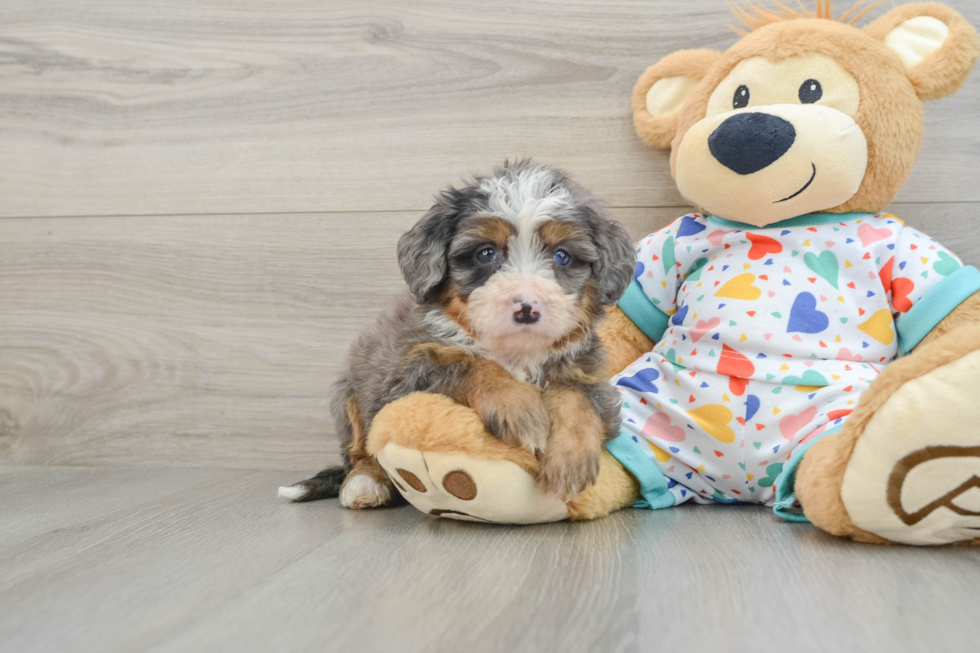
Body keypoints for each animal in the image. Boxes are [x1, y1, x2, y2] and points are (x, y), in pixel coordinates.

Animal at [282, 160, 636, 506]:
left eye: (562, 255)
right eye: (485, 253)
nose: (527, 309)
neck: (515, 352)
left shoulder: (591, 376)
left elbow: (576, 398)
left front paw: (570, 459)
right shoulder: (405, 370)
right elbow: (469, 362)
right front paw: (517, 407)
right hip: (349, 398)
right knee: (360, 450)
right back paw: (365, 483)